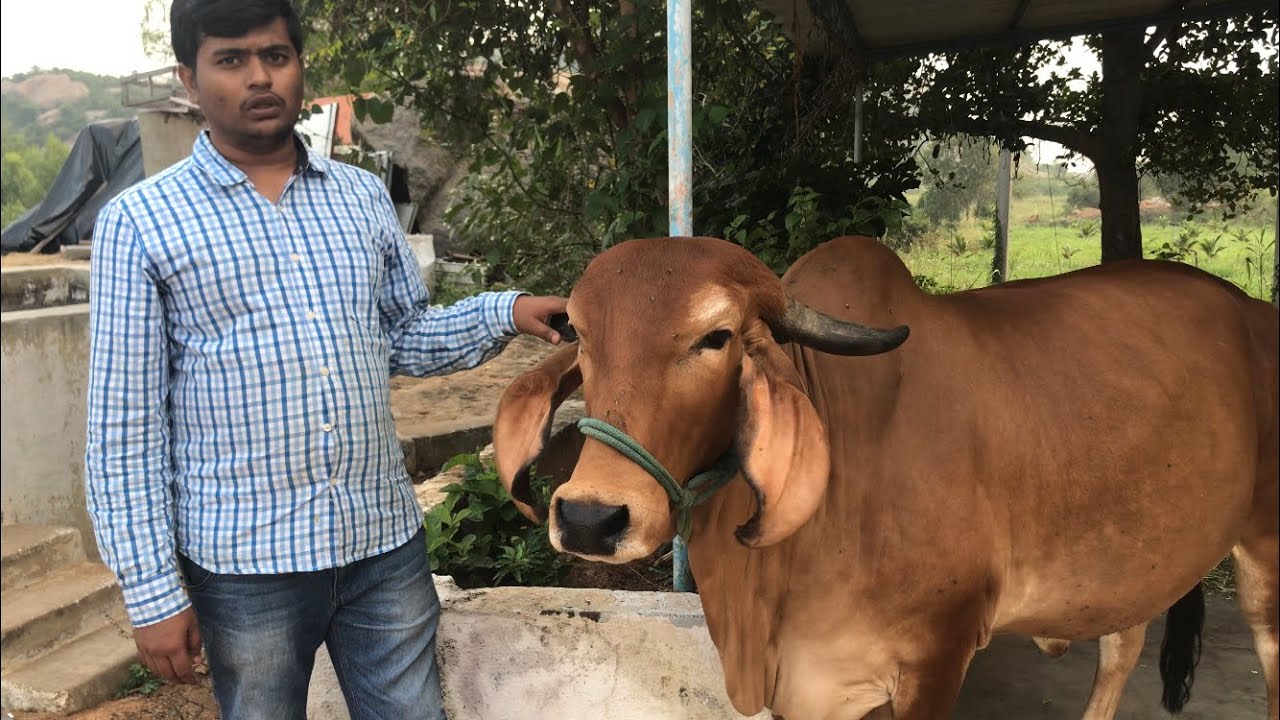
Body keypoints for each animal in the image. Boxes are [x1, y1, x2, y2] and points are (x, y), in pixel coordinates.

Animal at [493, 235, 1278, 720]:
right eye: (580, 334)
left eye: (716, 337)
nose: (590, 519)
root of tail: (1253, 310)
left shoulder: (936, 658)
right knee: (1122, 647)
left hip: (1263, 555)